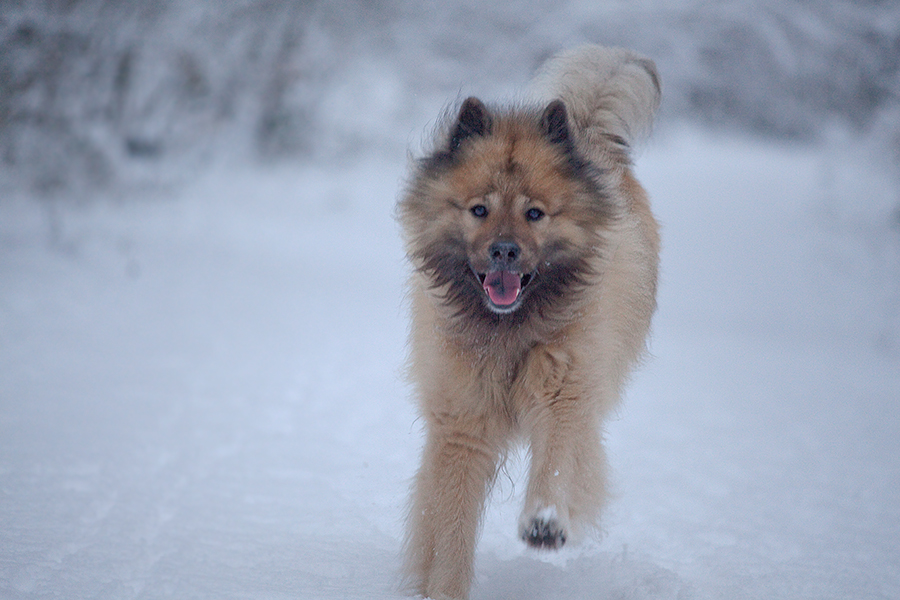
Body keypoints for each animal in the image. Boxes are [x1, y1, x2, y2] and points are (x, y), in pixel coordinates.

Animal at [400, 44, 660, 596]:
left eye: (534, 213)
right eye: (479, 209)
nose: (504, 250)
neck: (508, 331)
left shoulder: (564, 389)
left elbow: (557, 464)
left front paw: (545, 522)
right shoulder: (463, 421)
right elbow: (449, 522)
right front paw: (442, 587)